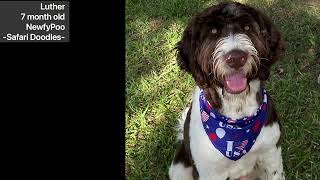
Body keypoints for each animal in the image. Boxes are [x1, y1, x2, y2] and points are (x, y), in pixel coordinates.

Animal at [170, 1, 284, 180]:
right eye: (213, 31)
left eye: (247, 27)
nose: (236, 58)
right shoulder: (209, 172)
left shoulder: (271, 154)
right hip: (179, 169)